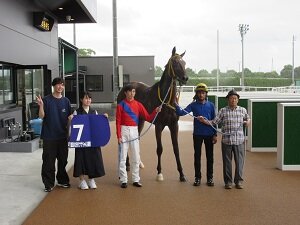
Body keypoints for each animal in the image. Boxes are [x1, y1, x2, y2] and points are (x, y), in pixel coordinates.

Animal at [116, 46, 188, 182]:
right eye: (175, 62)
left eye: (184, 63)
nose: (185, 78)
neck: (166, 100)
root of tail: (124, 88)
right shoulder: (158, 126)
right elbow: (159, 149)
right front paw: (159, 173)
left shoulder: (174, 125)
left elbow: (176, 149)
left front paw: (182, 174)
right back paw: (127, 165)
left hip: (140, 121)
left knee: (136, 138)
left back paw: (138, 163)